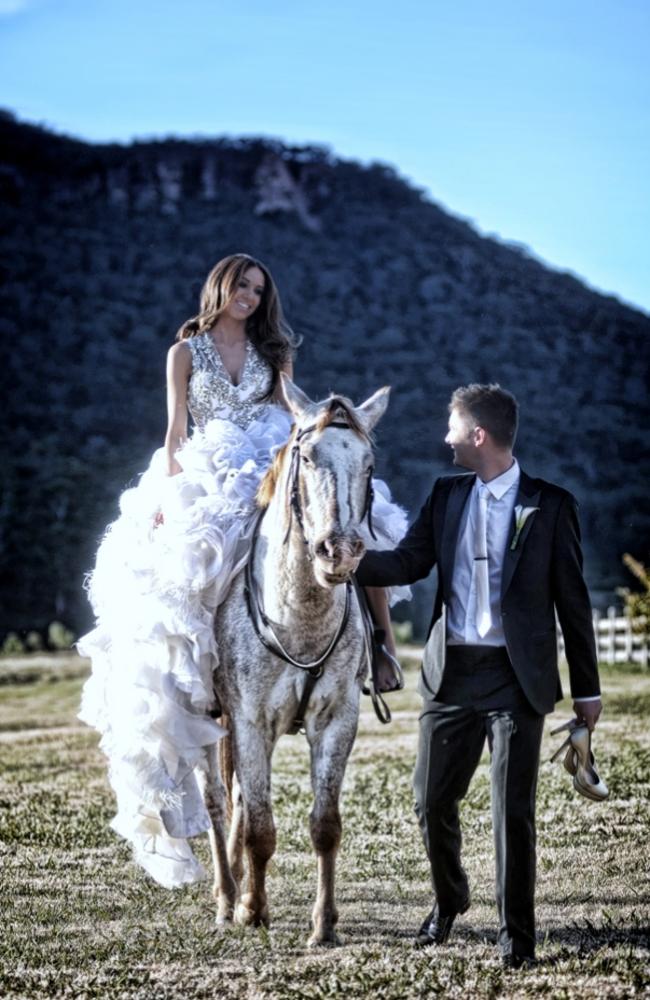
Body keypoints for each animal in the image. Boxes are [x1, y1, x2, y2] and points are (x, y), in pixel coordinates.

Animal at [199, 374, 390, 944]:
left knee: (237, 801)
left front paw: (323, 925)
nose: (339, 551)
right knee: (217, 802)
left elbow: (324, 825)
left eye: (369, 463)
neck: (298, 619)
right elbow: (260, 827)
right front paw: (253, 910)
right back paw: (227, 897)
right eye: (306, 456)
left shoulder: (336, 720)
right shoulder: (249, 720)